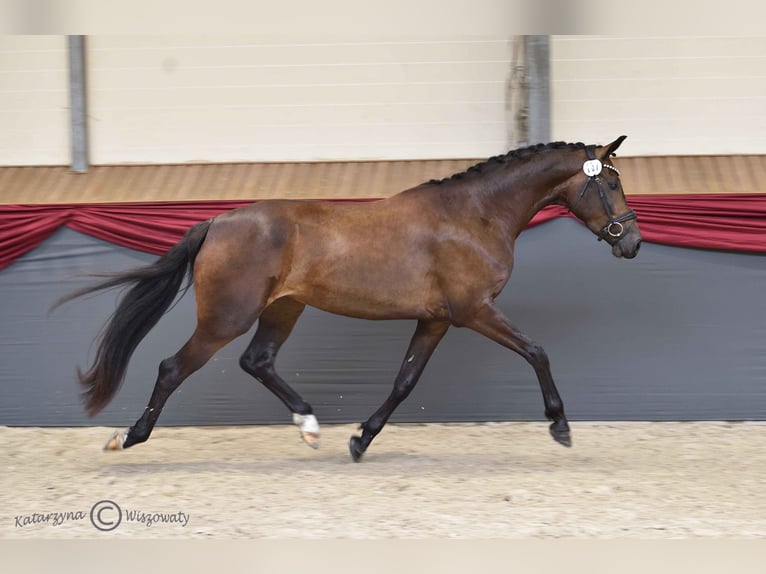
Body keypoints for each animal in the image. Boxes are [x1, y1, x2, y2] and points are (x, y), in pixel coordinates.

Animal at [54, 136, 640, 464]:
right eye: (611, 185)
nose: (631, 241)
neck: (474, 215)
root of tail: (218, 221)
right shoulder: (475, 310)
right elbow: (537, 351)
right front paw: (560, 427)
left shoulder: (436, 319)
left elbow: (405, 382)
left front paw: (360, 440)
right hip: (227, 317)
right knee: (173, 367)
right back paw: (127, 438)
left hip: (282, 309)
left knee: (257, 361)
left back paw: (311, 428)